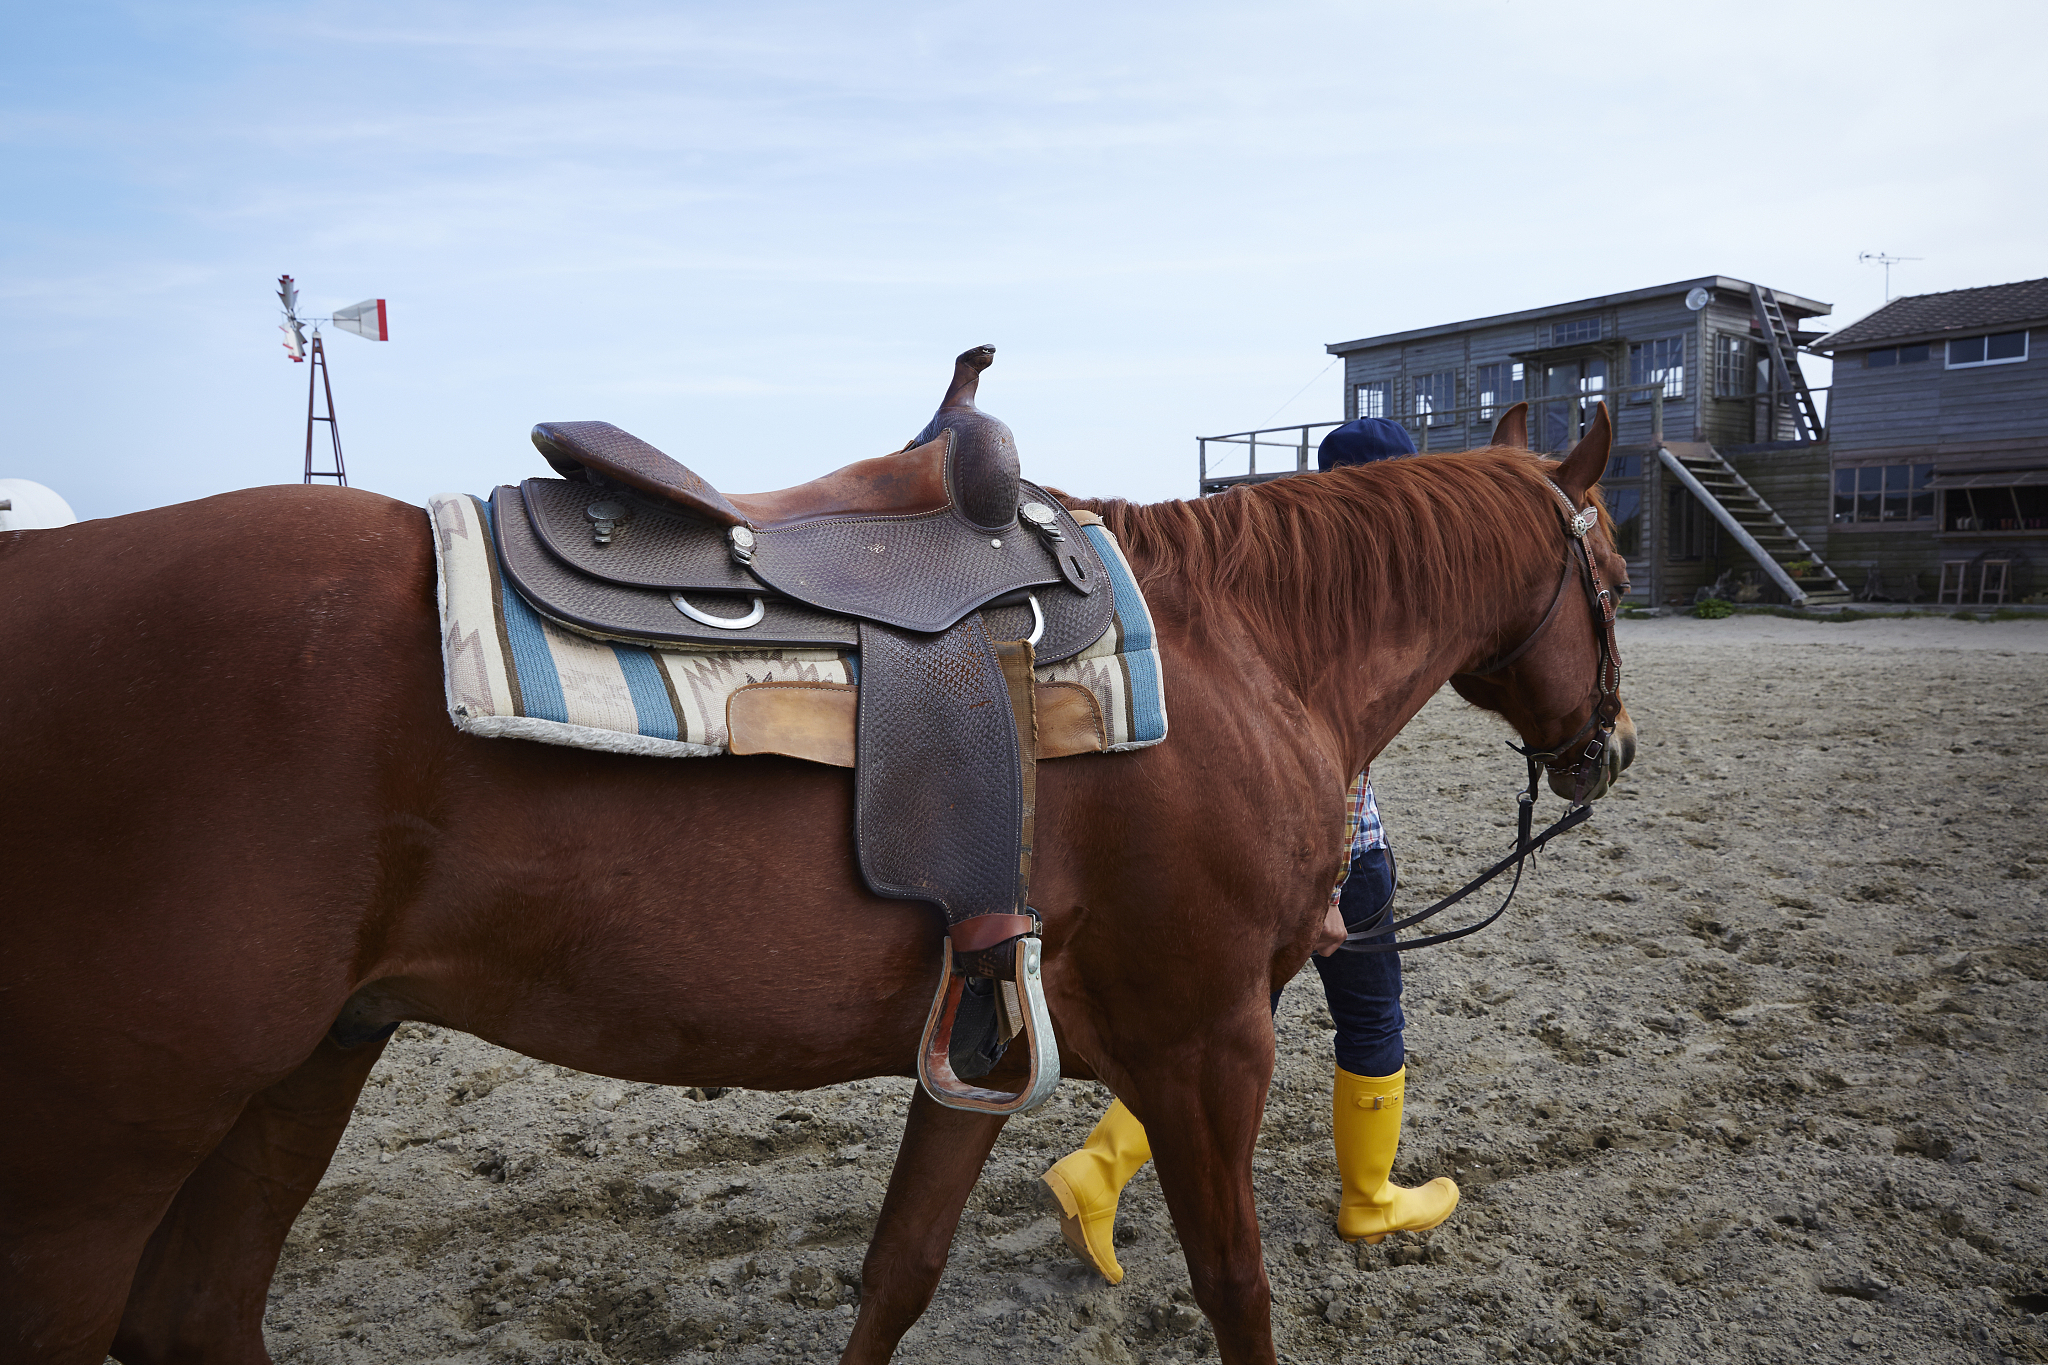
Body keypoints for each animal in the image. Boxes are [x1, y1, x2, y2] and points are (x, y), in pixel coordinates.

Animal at [0, 402, 1634, 1365]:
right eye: (1614, 576)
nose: (1607, 748)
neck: (1241, 651)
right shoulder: (1207, 1039)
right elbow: (1235, 1285)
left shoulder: (987, 1023)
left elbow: (898, 1268)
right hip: (103, 1157)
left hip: (303, 1068)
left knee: (198, 1315)